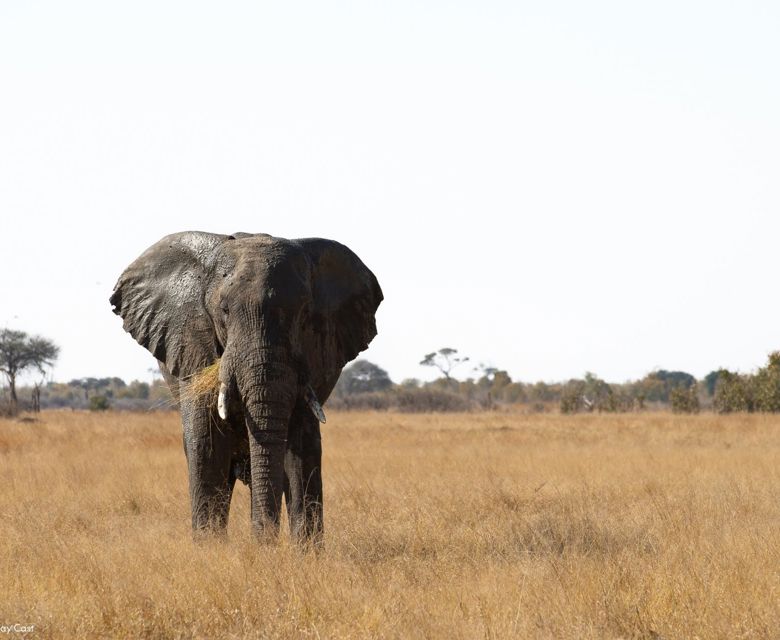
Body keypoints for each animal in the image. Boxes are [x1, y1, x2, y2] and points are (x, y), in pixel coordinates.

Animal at [110, 231, 382, 542]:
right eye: (224, 310)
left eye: (304, 313)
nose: (265, 542)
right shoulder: (194, 346)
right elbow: (207, 442)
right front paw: (211, 549)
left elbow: (302, 447)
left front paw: (304, 552)